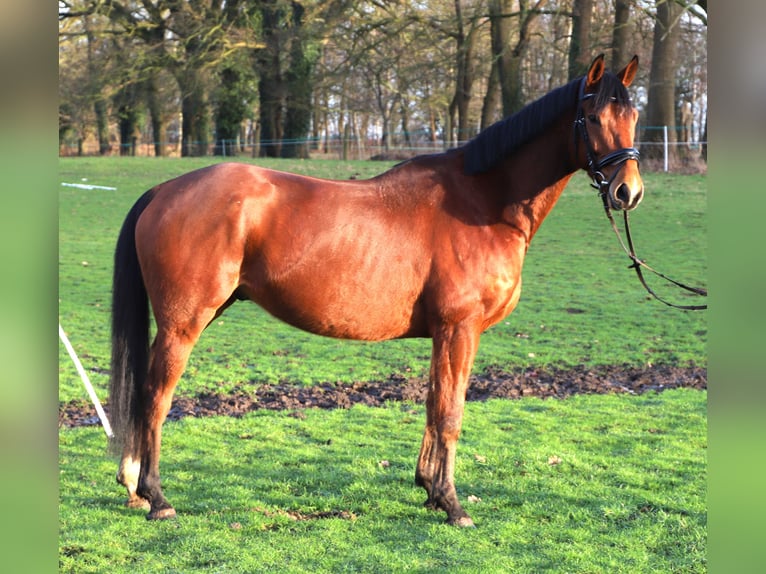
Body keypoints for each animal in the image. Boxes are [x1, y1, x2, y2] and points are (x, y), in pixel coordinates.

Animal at [109, 54, 643, 527]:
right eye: (593, 117)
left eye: (633, 115)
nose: (628, 191)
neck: (484, 202)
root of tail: (164, 190)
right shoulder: (459, 327)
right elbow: (450, 412)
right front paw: (452, 505)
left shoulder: (445, 334)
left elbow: (434, 404)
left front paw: (430, 489)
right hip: (183, 323)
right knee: (155, 397)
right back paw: (156, 497)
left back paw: (136, 487)